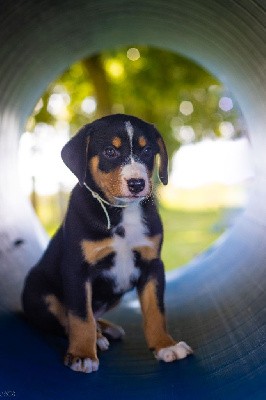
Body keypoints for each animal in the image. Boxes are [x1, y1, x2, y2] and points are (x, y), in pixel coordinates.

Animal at [21, 114, 192, 374]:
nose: (136, 183)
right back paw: (98, 337)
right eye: (110, 151)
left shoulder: (152, 265)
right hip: (39, 292)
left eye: (147, 151)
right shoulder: (77, 270)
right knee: (62, 321)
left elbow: (156, 310)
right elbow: (80, 316)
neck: (122, 212)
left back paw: (106, 329)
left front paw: (165, 346)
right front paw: (82, 354)